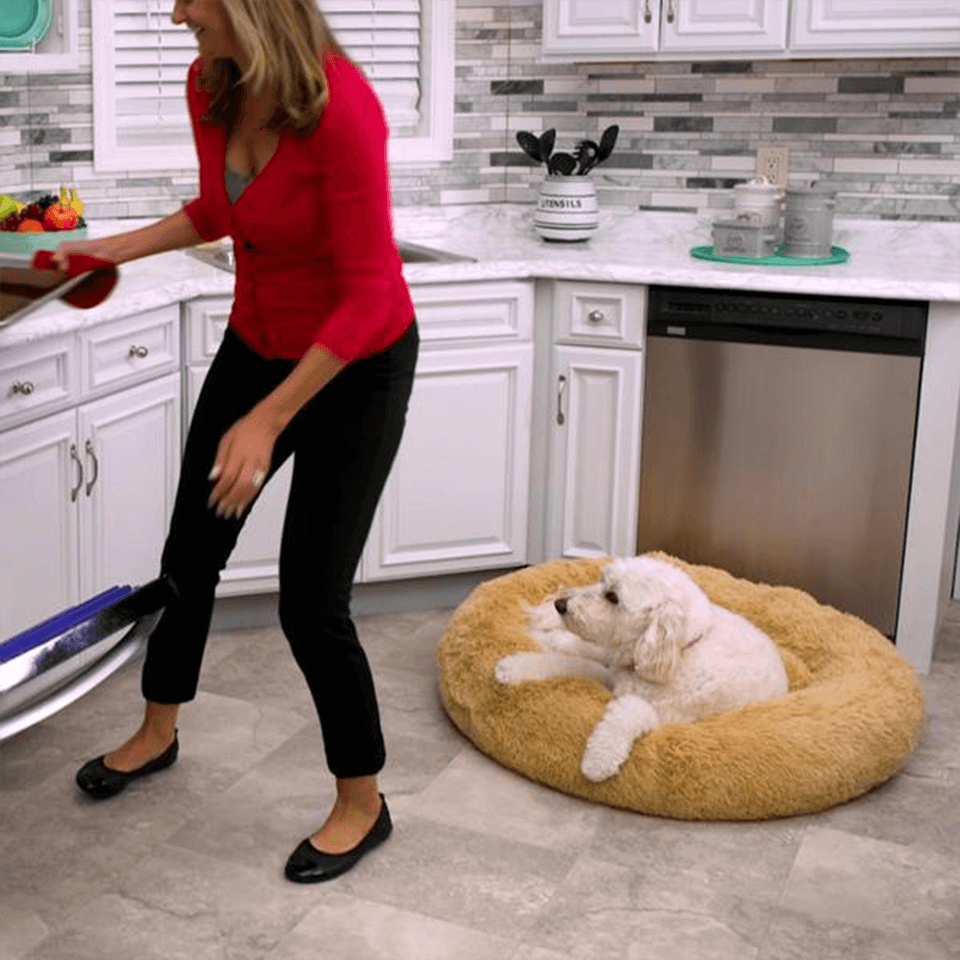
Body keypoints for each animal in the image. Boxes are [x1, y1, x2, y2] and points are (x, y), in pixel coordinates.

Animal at [495, 556, 788, 782]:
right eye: (603, 581)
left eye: (613, 597)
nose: (560, 604)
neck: (684, 649)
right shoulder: (610, 674)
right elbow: (563, 662)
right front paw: (513, 667)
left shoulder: (660, 712)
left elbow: (627, 713)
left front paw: (598, 761)